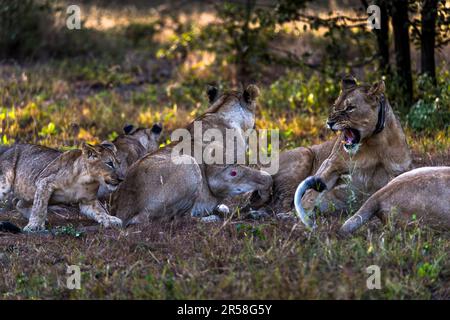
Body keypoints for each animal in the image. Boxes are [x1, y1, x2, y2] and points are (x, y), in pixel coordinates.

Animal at [253, 76, 412, 229]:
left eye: (350, 108)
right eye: (335, 107)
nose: (329, 122)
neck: (375, 144)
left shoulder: (399, 172)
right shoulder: (330, 164)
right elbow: (310, 194)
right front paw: (298, 216)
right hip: (305, 153)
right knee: (279, 204)